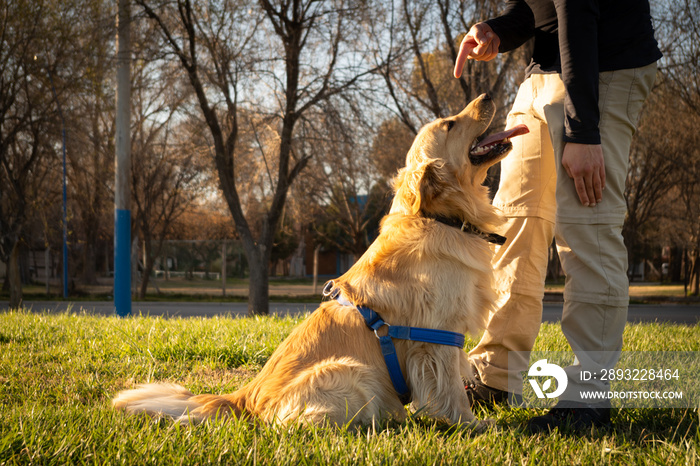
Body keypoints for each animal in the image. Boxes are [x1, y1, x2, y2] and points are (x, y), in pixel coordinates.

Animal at [115, 93, 528, 430]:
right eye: (450, 124)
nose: (488, 95)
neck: (440, 218)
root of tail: (244, 397)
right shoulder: (437, 335)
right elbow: (450, 389)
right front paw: (471, 424)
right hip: (351, 372)